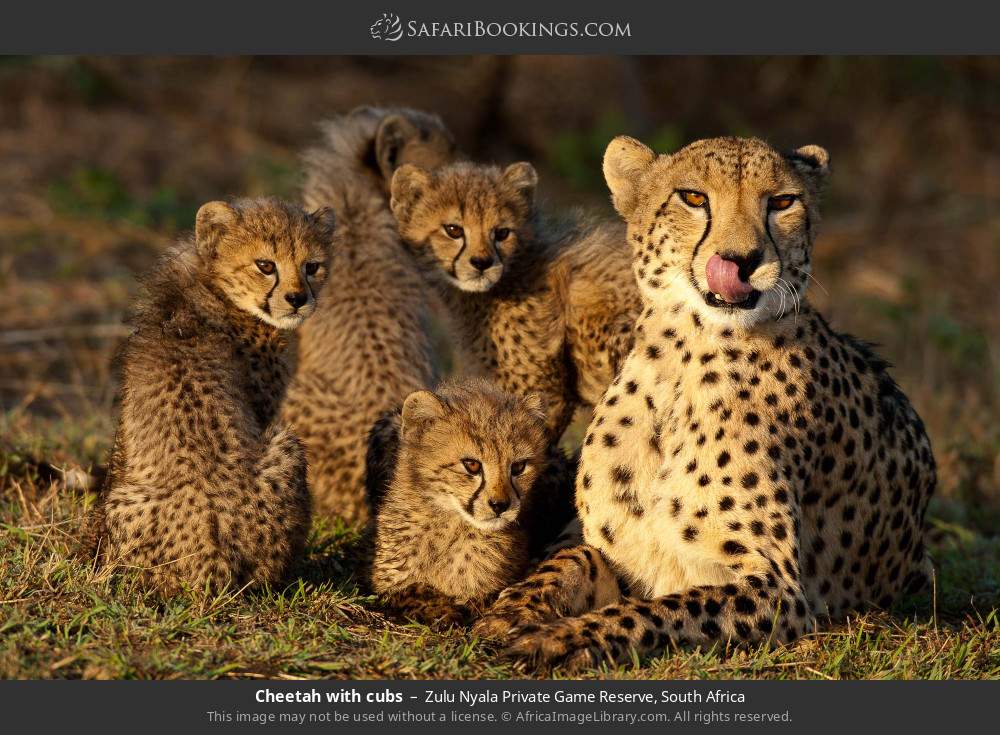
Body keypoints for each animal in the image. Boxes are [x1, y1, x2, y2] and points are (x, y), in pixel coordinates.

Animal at [83, 197, 335, 595]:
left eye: (312, 267)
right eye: (266, 265)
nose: (297, 299)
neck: (207, 280)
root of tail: (210, 558)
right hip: (287, 444)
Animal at [363, 379, 577, 627]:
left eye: (518, 467)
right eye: (472, 465)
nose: (500, 505)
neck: (451, 526)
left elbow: (482, 596)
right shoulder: (385, 580)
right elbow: (410, 589)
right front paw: (441, 609)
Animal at [473, 135, 936, 672]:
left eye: (782, 202)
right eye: (693, 198)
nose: (742, 259)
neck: (686, 354)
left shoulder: (778, 589)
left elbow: (654, 612)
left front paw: (564, 638)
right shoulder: (609, 546)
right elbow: (563, 563)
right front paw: (512, 611)